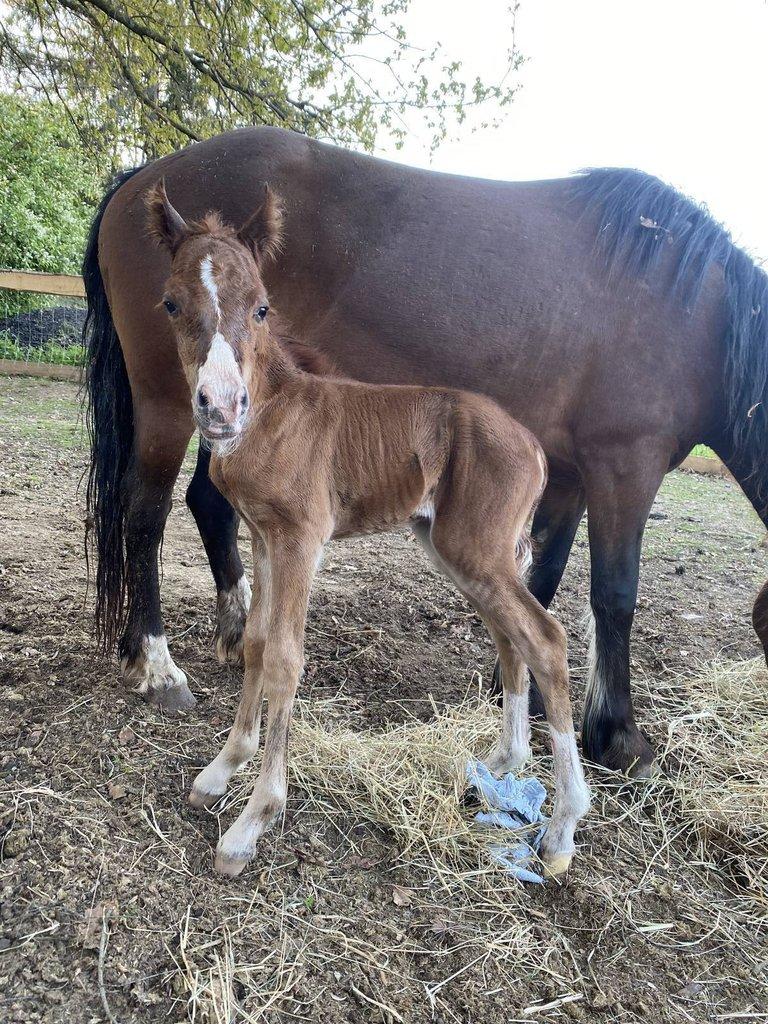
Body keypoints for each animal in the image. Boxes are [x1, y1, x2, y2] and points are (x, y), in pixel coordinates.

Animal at [83, 126, 768, 778]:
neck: (694, 313)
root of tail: (139, 176)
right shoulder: (625, 464)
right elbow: (616, 594)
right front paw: (620, 736)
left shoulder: (569, 477)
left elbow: (541, 579)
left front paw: (521, 692)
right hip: (172, 404)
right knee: (145, 512)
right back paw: (158, 664)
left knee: (208, 502)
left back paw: (226, 628)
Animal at [144, 181, 591, 876]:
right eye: (171, 303)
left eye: (263, 307)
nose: (219, 407)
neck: (271, 415)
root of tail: (533, 446)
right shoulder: (262, 537)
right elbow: (255, 643)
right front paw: (222, 769)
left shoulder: (301, 540)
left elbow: (285, 657)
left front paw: (252, 821)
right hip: (457, 551)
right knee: (510, 635)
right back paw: (500, 765)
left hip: (478, 550)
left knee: (544, 637)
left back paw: (564, 829)